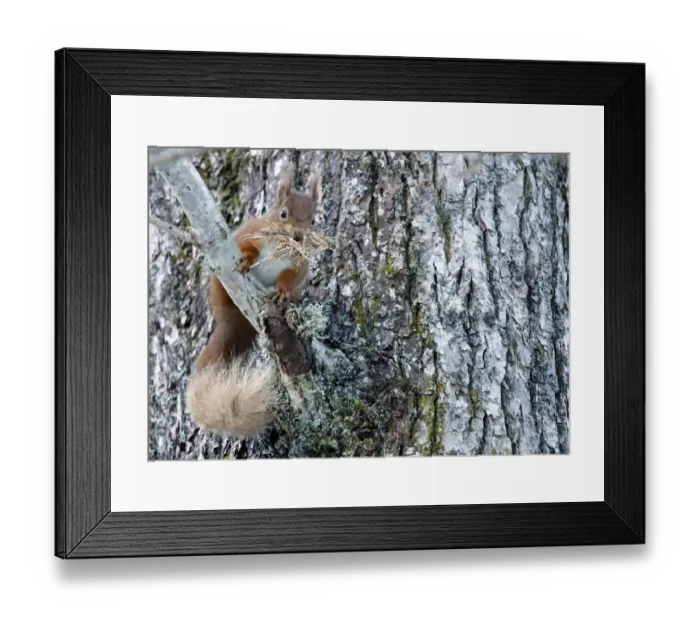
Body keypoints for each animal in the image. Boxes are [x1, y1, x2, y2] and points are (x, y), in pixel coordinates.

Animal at [185, 171, 322, 437]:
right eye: (283, 213)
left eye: (312, 221)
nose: (298, 236)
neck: (281, 248)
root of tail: (231, 321)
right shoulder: (251, 233)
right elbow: (246, 248)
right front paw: (247, 260)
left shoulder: (298, 266)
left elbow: (289, 279)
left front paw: (281, 291)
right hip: (220, 288)